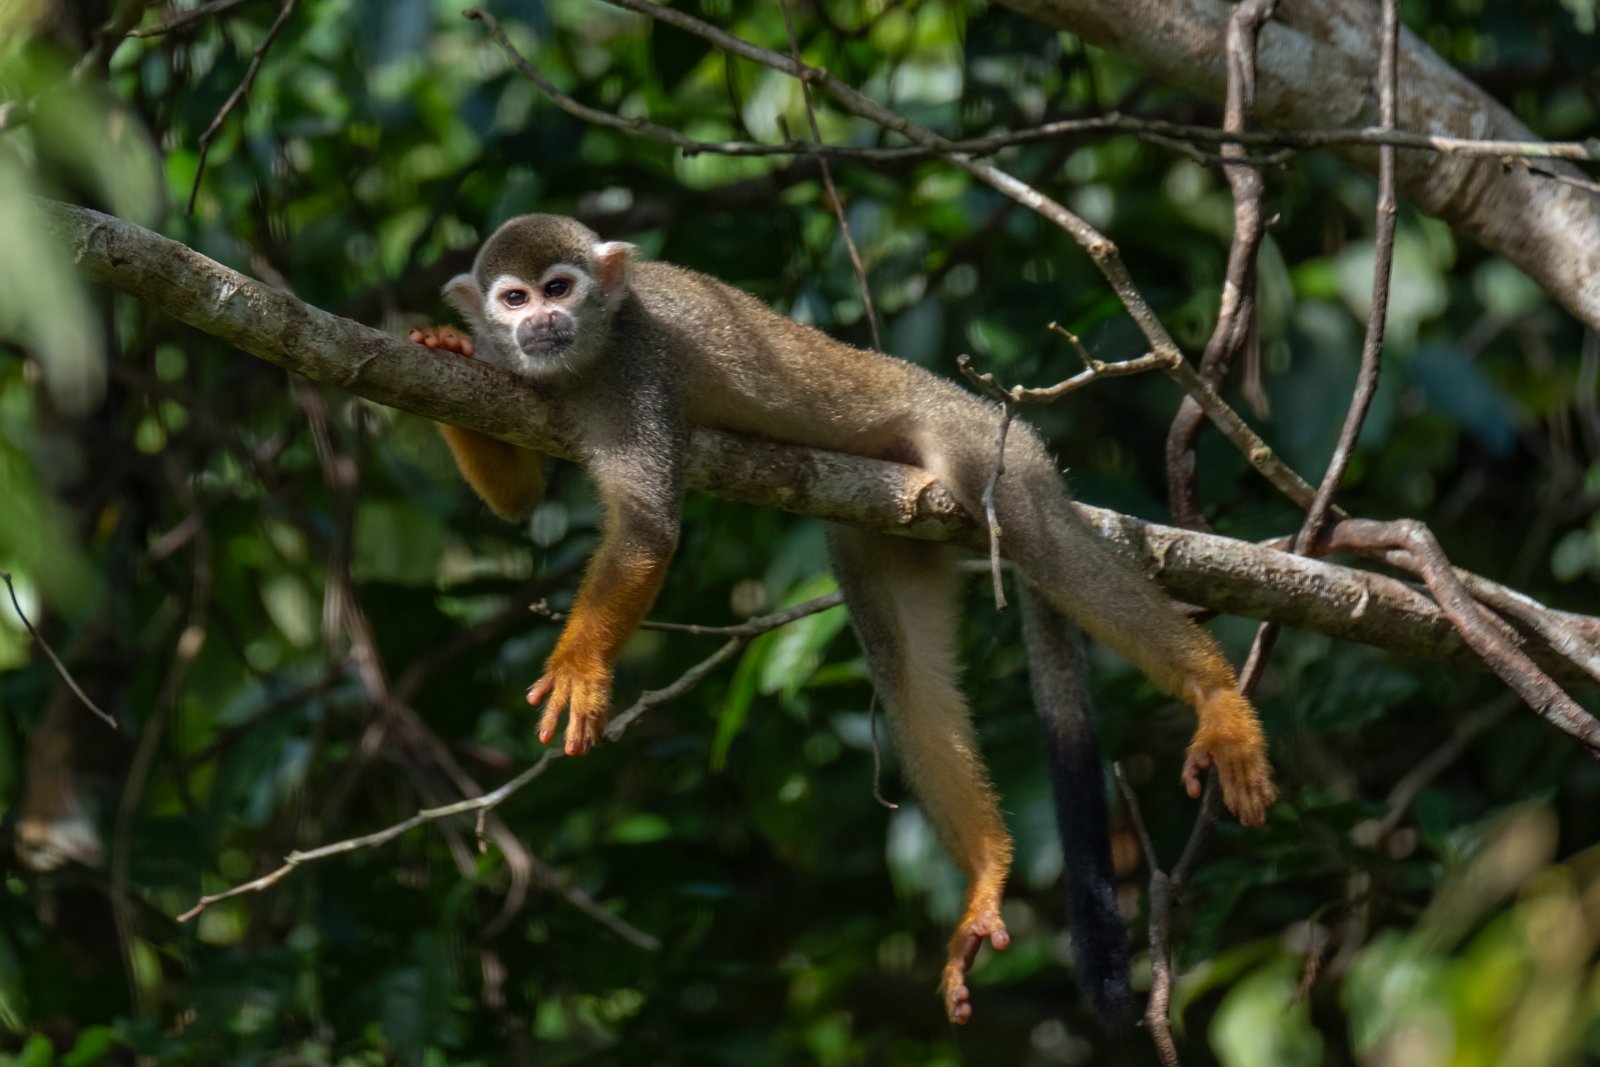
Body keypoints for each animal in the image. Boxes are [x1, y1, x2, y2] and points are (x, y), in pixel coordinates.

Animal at [411, 213, 1275, 1024]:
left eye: (559, 289)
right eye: (512, 300)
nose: (538, 323)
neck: (583, 360)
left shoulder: (636, 372)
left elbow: (648, 529)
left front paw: (580, 668)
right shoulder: (520, 378)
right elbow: (520, 502)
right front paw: (445, 346)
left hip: (982, 444)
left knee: (1043, 541)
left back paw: (1215, 696)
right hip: (884, 513)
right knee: (898, 653)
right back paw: (987, 869)